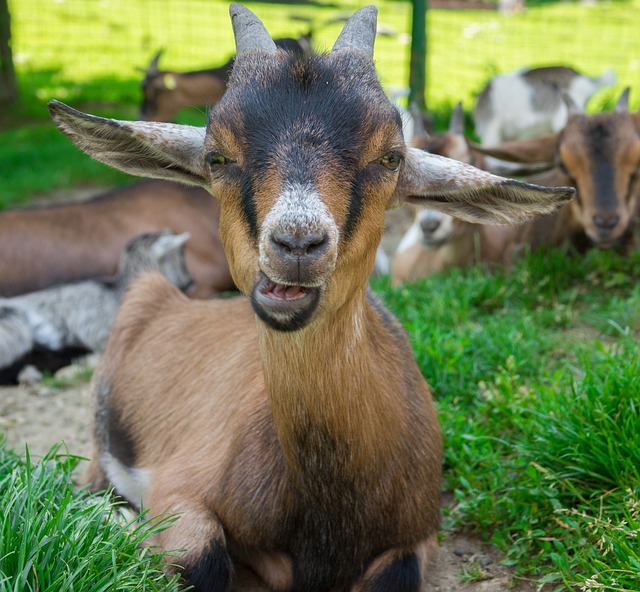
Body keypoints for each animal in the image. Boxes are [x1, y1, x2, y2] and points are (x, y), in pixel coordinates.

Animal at [47, 5, 572, 592]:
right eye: (216, 156)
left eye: (391, 157)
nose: (297, 243)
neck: (325, 511)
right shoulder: (178, 491)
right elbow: (201, 562)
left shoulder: (417, 535)